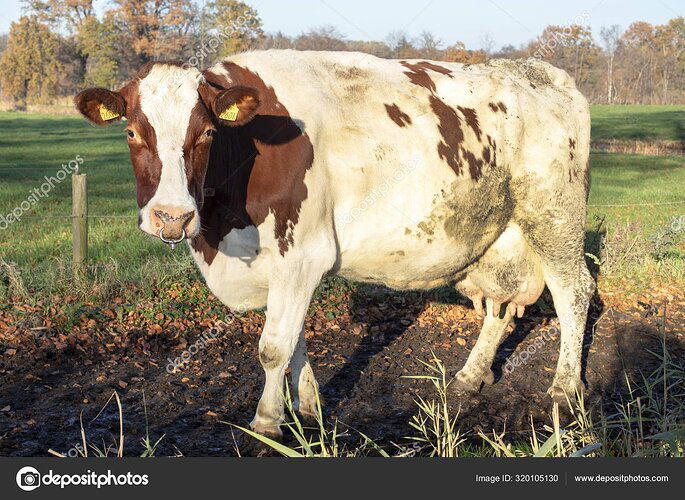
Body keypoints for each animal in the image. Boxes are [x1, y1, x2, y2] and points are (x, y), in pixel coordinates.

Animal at [73, 49, 592, 442]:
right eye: (131, 132)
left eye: (205, 132)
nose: (171, 216)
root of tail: (542, 71)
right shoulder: (285, 266)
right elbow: (295, 338)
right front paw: (308, 408)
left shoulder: (302, 253)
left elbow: (273, 346)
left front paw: (267, 422)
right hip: (499, 236)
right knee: (499, 306)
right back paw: (470, 374)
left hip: (555, 216)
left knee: (574, 293)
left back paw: (565, 388)